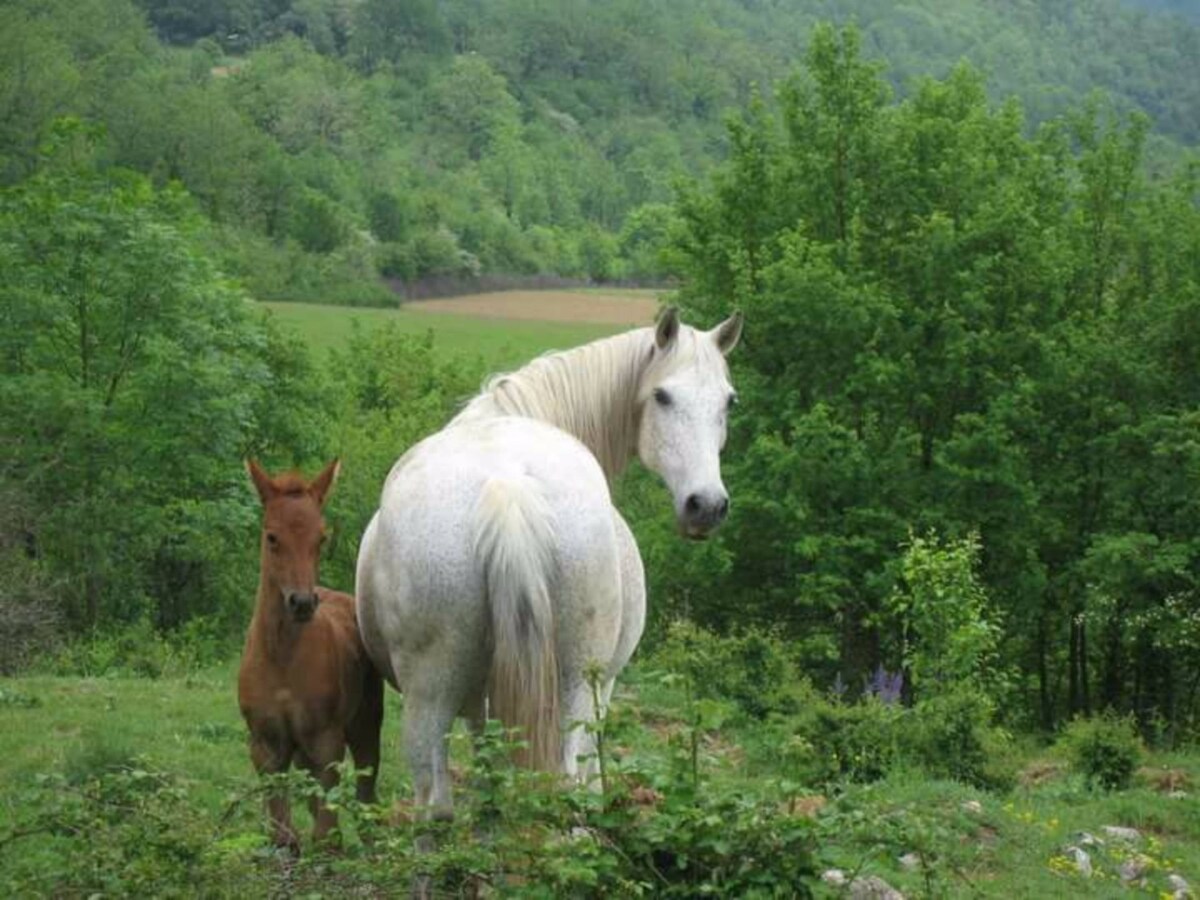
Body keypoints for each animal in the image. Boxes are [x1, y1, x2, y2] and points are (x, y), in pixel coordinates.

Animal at [237, 460, 379, 849]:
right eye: (272, 537)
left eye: (321, 538)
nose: (301, 602)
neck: (281, 660)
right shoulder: (265, 744)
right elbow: (283, 834)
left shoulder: (326, 739)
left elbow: (327, 835)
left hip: (365, 724)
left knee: (366, 788)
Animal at [352, 309, 739, 816]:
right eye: (662, 395)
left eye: (729, 401)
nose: (706, 506)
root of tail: (507, 486)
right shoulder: (604, 688)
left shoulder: (484, 699)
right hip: (576, 688)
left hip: (435, 694)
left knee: (436, 801)